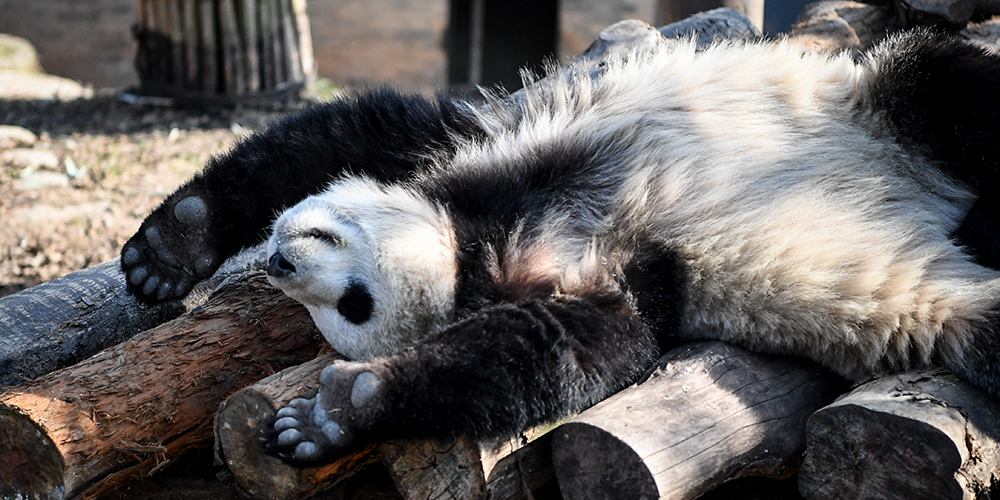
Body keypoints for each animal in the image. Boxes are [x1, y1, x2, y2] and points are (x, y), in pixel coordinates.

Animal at [121, 28, 1000, 464]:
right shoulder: (620, 271)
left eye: (354, 302)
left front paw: (334, 411)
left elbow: (362, 129)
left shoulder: (497, 151)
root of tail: (935, 204)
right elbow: (572, 346)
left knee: (944, 80)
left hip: (876, 107)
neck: (481, 241)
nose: (281, 264)